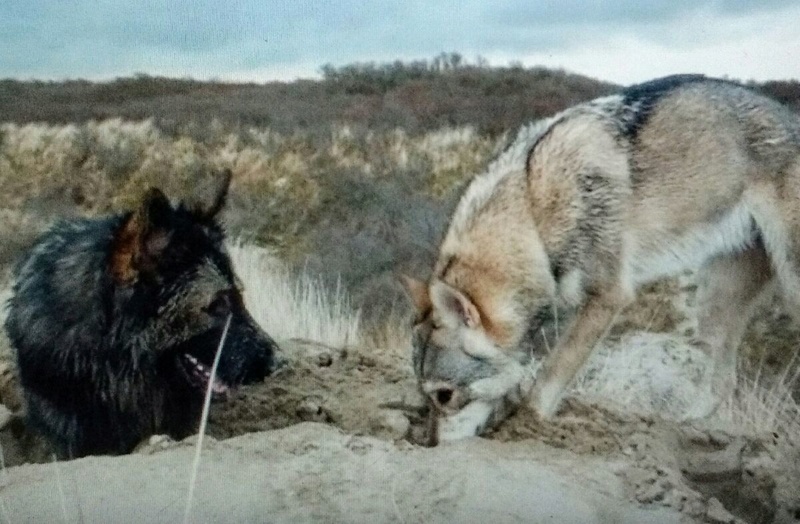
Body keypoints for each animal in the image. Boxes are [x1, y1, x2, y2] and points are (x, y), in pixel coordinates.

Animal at [404, 73, 800, 442]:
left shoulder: (608, 298)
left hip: (786, 285)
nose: (430, 445)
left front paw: (524, 426)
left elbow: (550, 374)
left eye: (444, 395)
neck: (533, 213)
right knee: (723, 383)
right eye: (426, 399)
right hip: (714, 302)